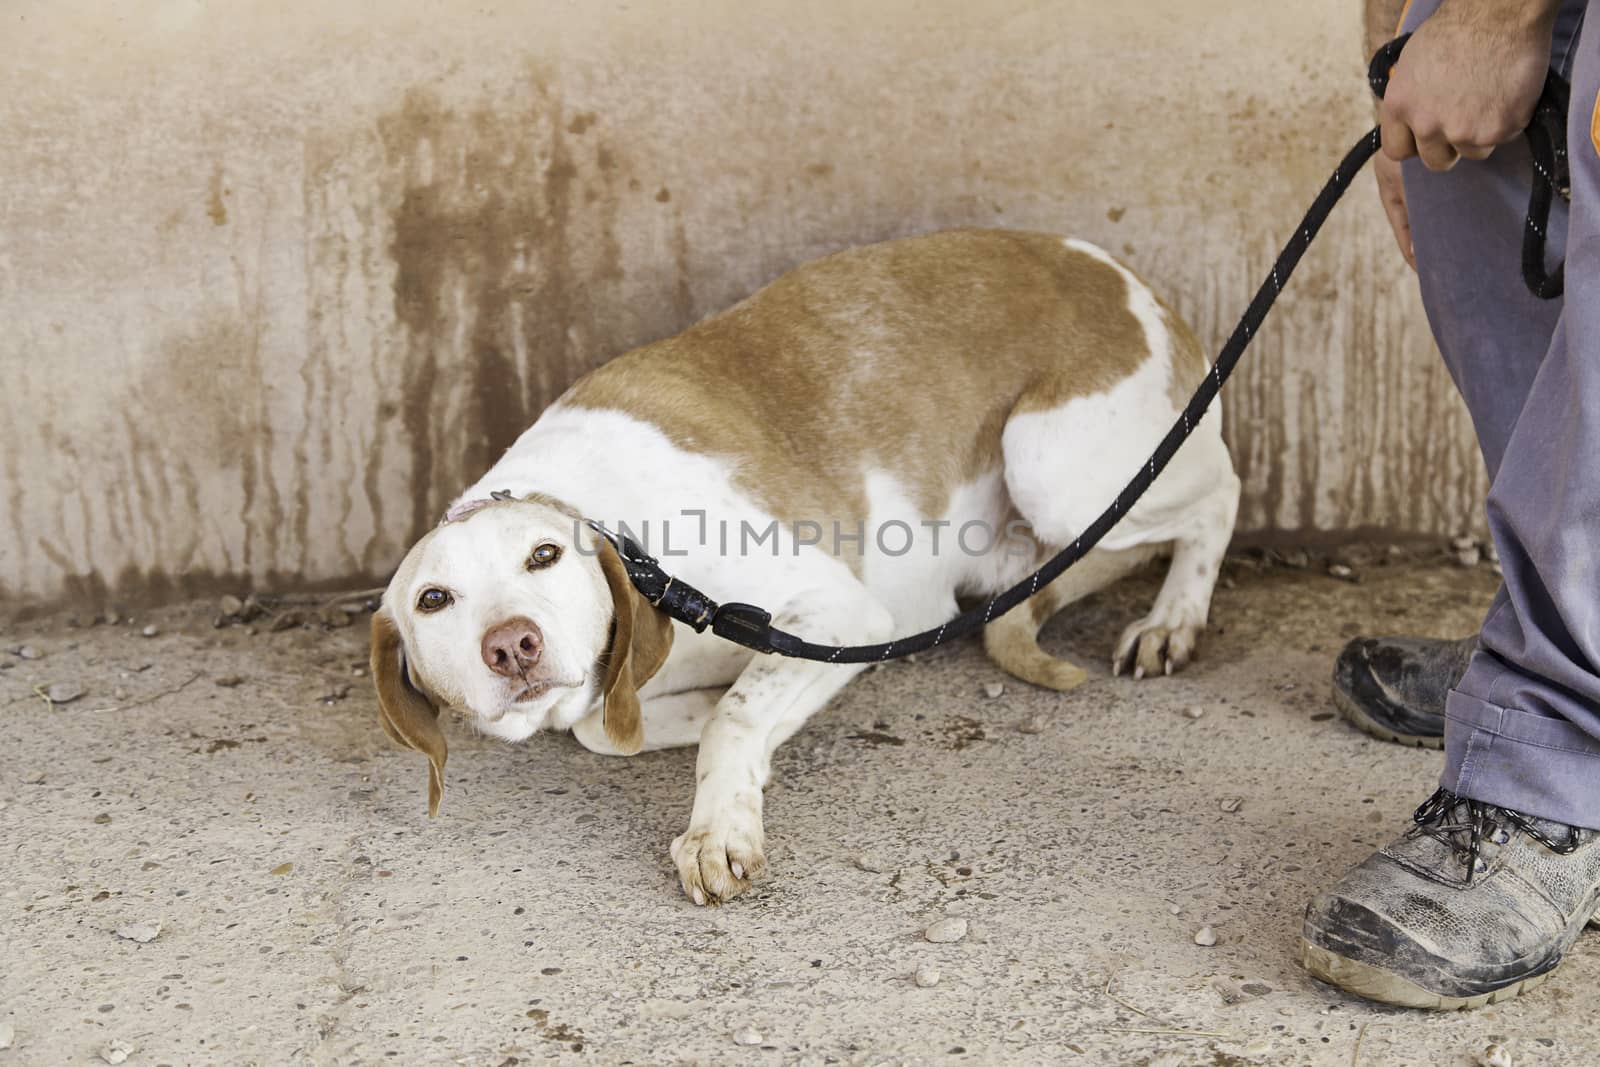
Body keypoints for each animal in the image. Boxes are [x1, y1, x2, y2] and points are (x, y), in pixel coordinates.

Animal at [371, 230, 1235, 908]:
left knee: (1215, 496)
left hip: (1049, 461)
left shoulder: (842, 612)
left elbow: (734, 714)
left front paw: (717, 824)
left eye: (543, 555)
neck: (635, 548)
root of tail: (1139, 286)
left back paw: (1172, 619)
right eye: (434, 599)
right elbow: (615, 727)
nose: (511, 645)